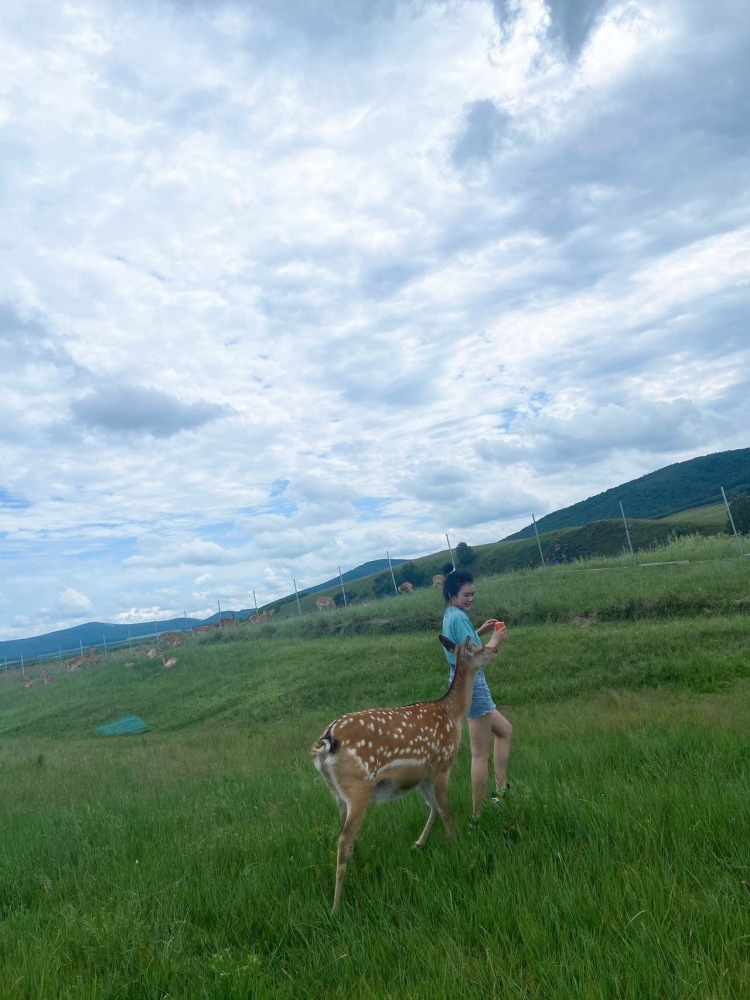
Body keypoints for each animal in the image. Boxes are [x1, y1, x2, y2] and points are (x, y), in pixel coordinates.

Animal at [312, 636, 500, 912]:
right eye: (479, 647)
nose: (495, 649)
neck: (453, 715)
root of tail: (327, 741)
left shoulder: (422, 775)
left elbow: (433, 808)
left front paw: (418, 844)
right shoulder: (441, 766)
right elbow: (446, 811)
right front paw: (455, 846)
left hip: (337, 794)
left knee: (346, 836)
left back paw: (359, 871)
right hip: (358, 788)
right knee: (344, 840)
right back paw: (336, 907)